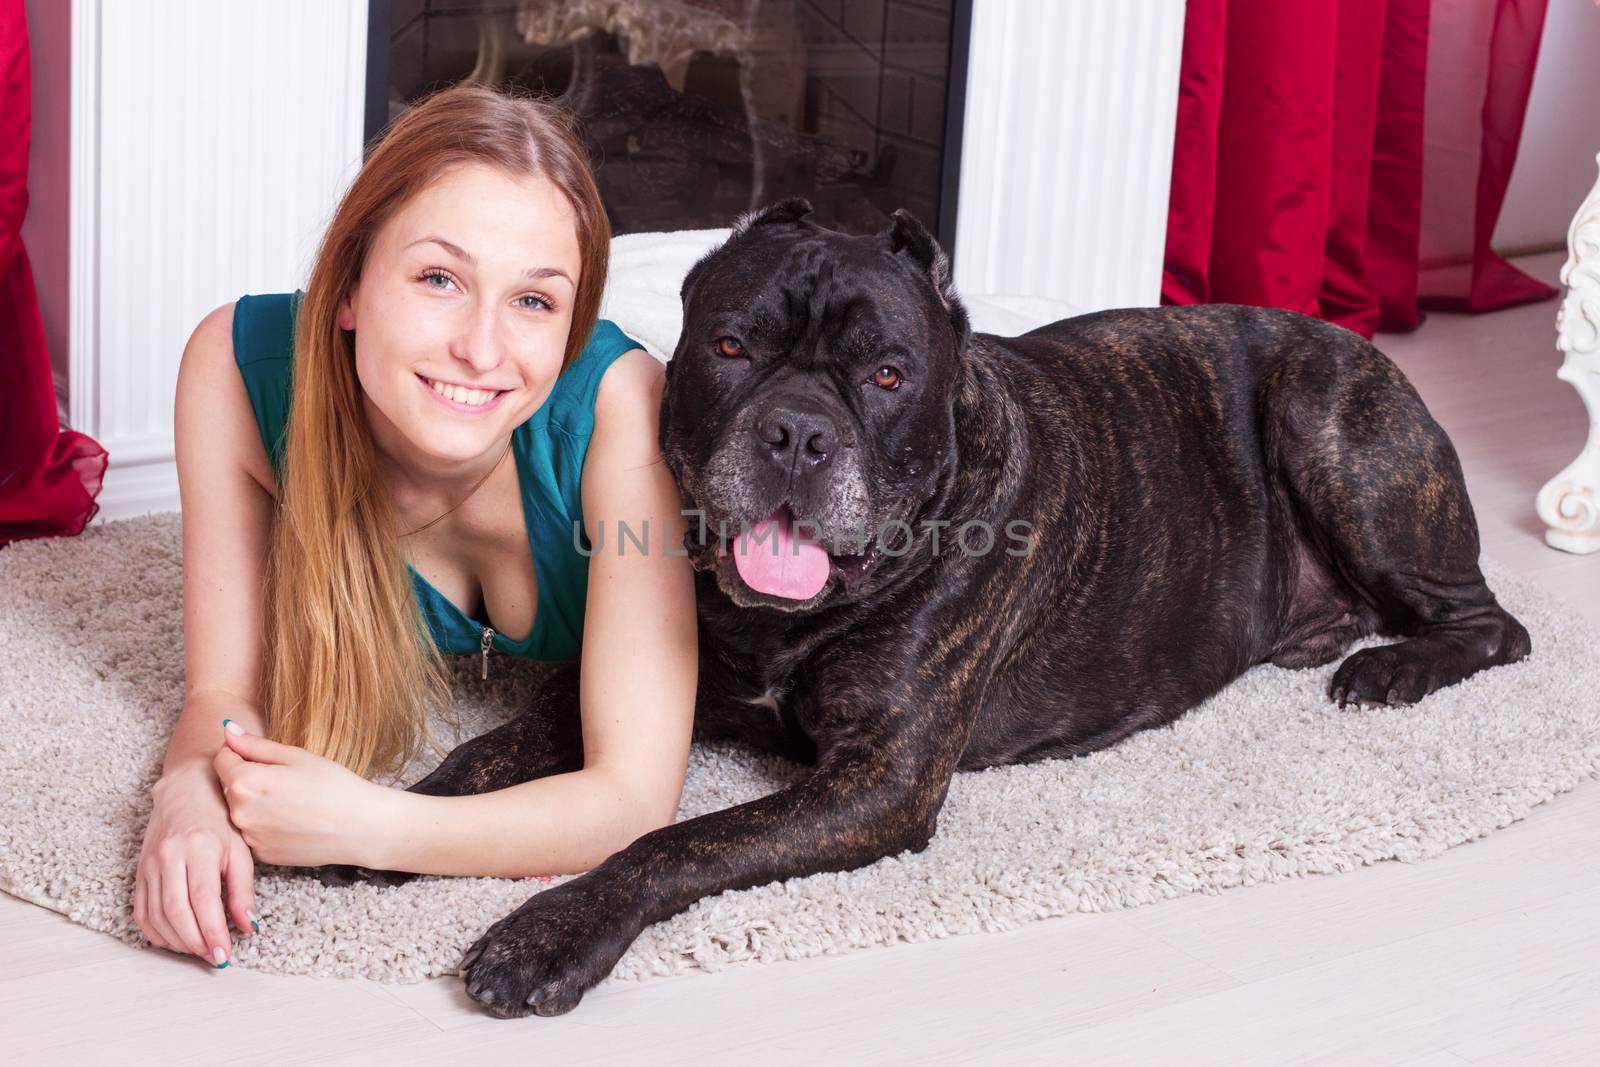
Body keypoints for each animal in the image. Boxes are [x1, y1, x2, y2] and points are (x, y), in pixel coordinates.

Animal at [318, 198, 1529, 1017]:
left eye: (889, 374)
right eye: (731, 346)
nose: (798, 430)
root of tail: (1357, 344)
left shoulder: (877, 783)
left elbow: (675, 842)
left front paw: (546, 932)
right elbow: (491, 752)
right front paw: (386, 818)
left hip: (1327, 425)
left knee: (1496, 626)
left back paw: (1391, 668)